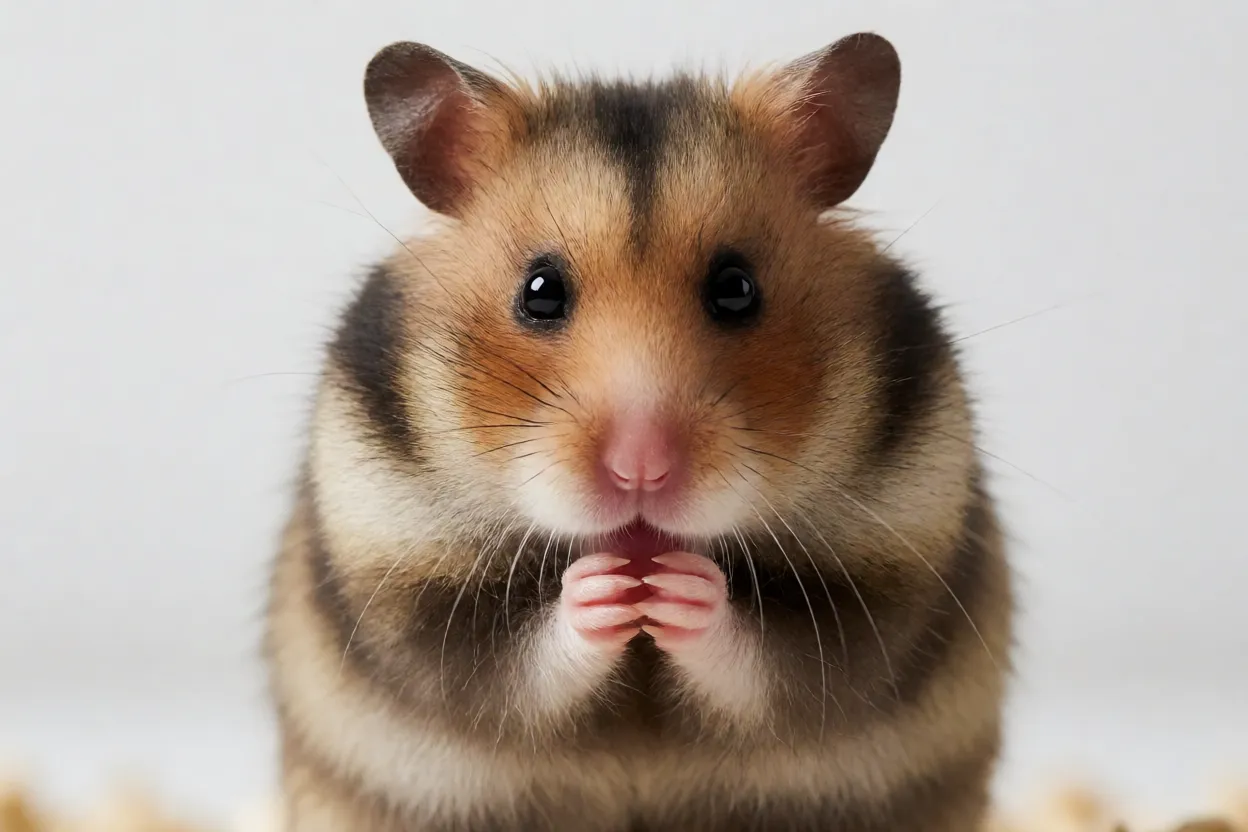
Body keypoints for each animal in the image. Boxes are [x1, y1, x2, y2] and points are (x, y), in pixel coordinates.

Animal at [264, 31, 1014, 832]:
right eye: (539, 291)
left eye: (736, 288)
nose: (641, 471)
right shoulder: (398, 568)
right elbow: (507, 664)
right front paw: (606, 589)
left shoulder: (892, 566)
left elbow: (784, 659)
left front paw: (680, 587)